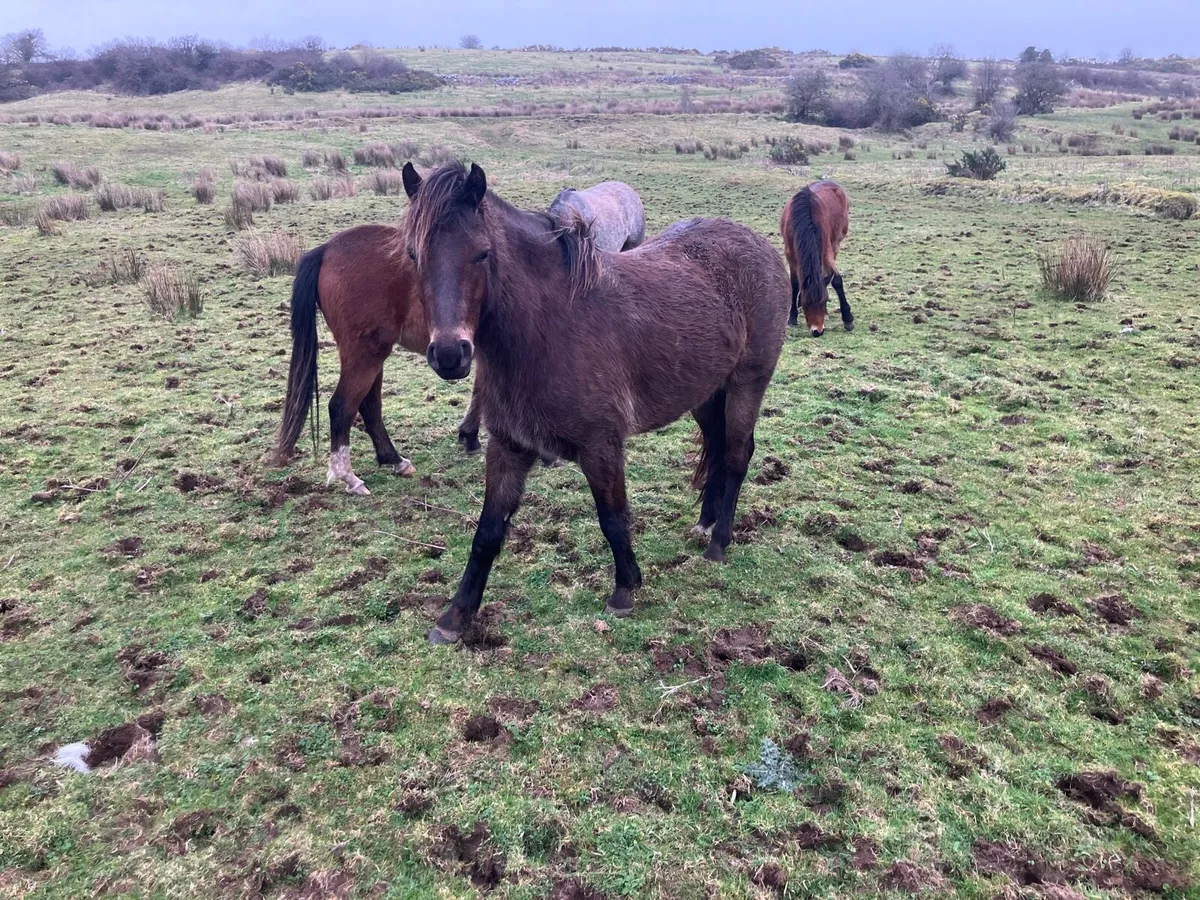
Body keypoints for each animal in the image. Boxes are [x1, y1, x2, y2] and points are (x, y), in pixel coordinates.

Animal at [274, 224, 484, 495]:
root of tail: (327, 250)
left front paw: (469, 435)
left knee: (369, 405)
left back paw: (393, 460)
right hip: (366, 356)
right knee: (342, 406)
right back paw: (349, 477)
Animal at [400, 160, 789, 645]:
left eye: (482, 254)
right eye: (414, 256)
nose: (450, 354)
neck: (546, 328)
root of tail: (762, 247)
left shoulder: (601, 445)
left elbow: (612, 517)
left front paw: (625, 589)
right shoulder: (508, 447)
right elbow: (487, 532)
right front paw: (455, 615)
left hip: (746, 383)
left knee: (736, 455)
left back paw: (719, 541)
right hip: (705, 393)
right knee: (718, 450)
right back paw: (705, 523)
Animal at [780, 180, 853, 337]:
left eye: (824, 301)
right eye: (807, 303)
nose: (817, 331)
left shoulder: (826, 250)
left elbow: (836, 280)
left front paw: (848, 318)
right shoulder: (790, 254)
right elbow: (795, 284)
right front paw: (792, 316)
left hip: (835, 243)